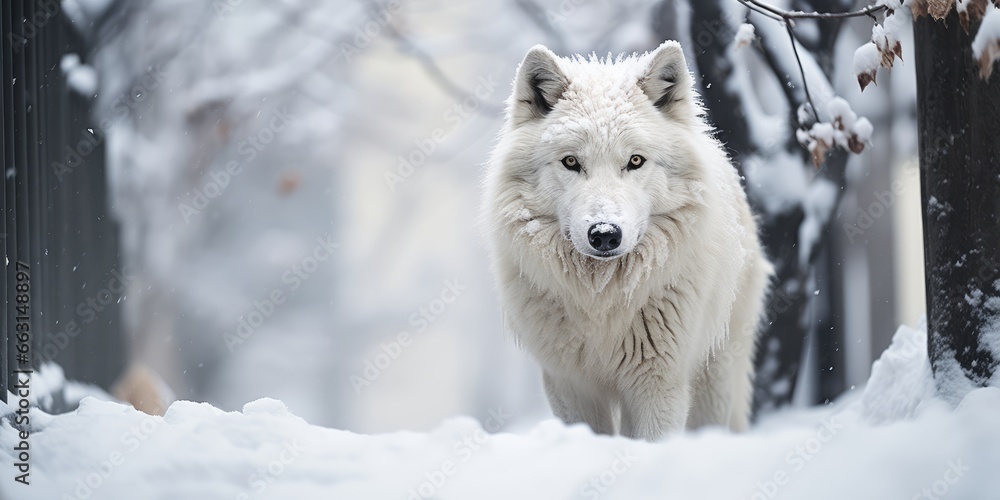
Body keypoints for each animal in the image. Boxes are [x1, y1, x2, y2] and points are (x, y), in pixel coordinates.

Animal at [484, 41, 773, 441]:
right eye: (571, 162)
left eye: (635, 161)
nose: (604, 234)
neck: (602, 299)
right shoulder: (570, 386)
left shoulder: (657, 382)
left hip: (715, 379)